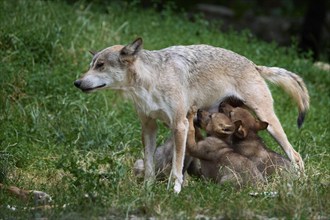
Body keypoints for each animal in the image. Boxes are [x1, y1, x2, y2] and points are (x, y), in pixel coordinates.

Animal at [74, 37, 310, 192]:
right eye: (91, 65)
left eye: (101, 65)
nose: (77, 82)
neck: (151, 82)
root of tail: (253, 64)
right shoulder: (149, 127)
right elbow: (150, 165)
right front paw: (147, 191)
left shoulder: (179, 125)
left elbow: (177, 168)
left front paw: (173, 192)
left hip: (269, 122)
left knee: (296, 155)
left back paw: (300, 184)